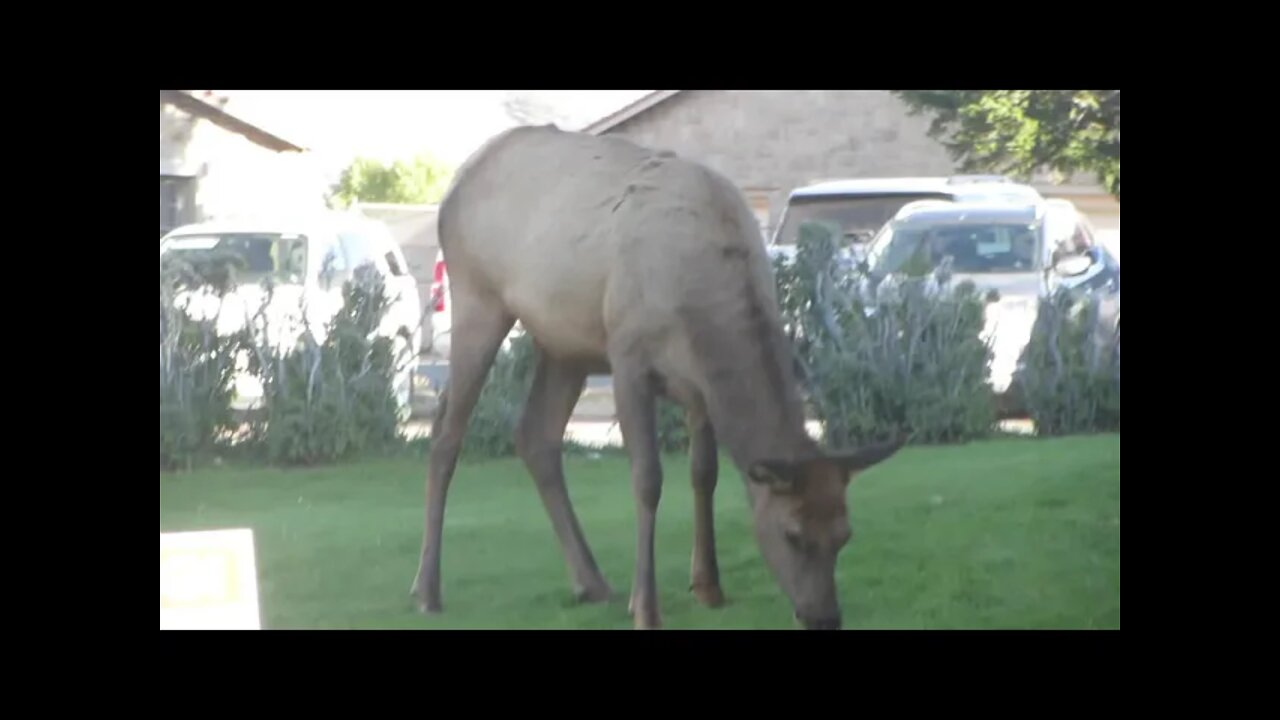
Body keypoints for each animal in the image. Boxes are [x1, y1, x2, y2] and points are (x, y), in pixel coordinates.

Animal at [409, 124, 901, 627]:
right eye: (792, 533)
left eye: (844, 534)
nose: (825, 617)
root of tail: (457, 182)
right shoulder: (628, 359)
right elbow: (647, 480)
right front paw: (645, 606)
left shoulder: (698, 387)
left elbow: (704, 473)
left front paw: (708, 585)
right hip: (479, 298)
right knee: (446, 434)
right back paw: (427, 590)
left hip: (566, 344)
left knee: (536, 435)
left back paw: (591, 581)